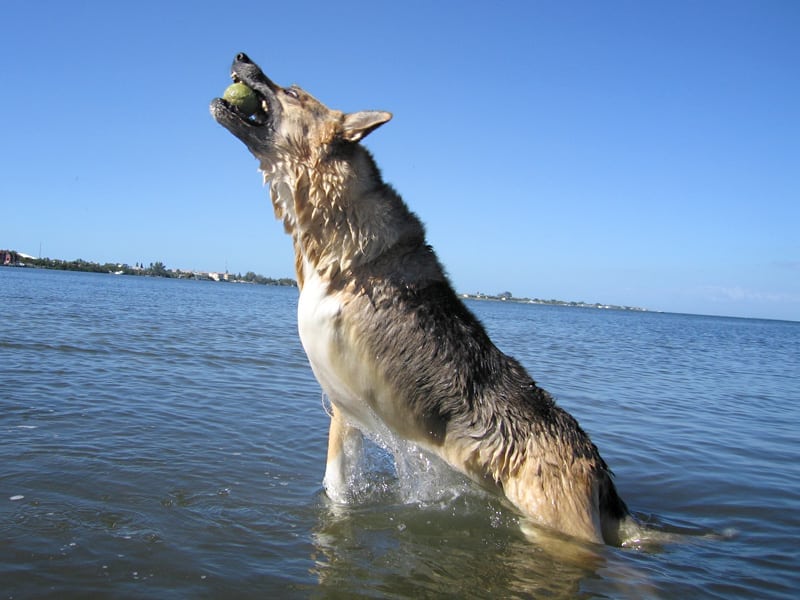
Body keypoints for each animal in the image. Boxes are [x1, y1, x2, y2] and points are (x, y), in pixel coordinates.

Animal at [211, 54, 632, 548]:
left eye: (293, 92)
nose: (241, 57)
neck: (337, 236)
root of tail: (600, 473)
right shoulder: (343, 409)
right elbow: (336, 485)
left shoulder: (345, 382)